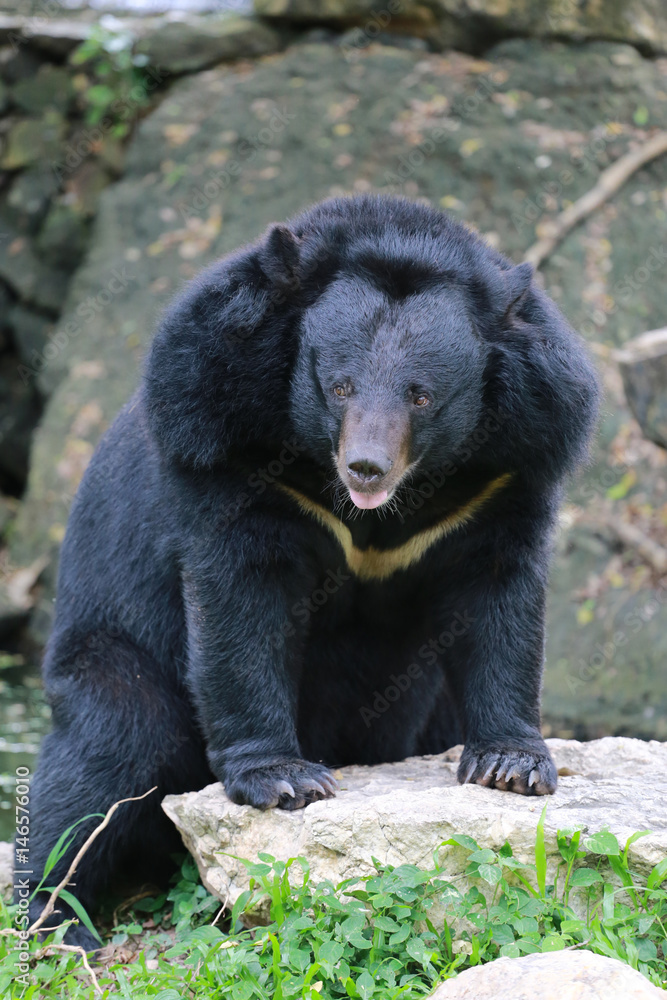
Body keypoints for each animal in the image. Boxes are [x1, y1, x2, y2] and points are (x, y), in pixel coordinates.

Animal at [23, 194, 599, 948]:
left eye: (420, 396)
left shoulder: (510, 468)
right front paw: (286, 780)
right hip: (112, 642)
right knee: (103, 754)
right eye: (339, 385)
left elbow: (498, 596)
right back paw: (57, 920)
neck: (377, 511)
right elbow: (242, 599)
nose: (366, 467)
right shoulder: (222, 439)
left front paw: (510, 766)